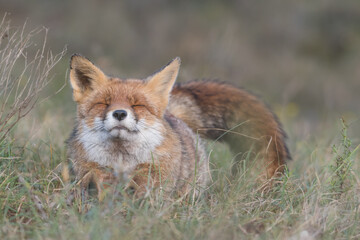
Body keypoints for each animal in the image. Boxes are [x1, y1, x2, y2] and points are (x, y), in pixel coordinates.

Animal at [67, 54, 290, 199]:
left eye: (137, 105)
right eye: (104, 104)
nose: (120, 113)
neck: (123, 160)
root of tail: (173, 114)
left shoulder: (154, 173)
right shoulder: (92, 170)